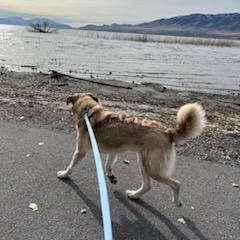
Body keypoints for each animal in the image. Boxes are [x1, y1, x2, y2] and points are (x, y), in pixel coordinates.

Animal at [57, 92, 205, 206]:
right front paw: (111, 176)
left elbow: (71, 165)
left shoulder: (80, 151)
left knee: (176, 183)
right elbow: (107, 165)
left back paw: (176, 201)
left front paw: (64, 174)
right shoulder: (113, 151)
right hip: (143, 163)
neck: (89, 110)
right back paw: (134, 194)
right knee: (147, 186)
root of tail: (168, 132)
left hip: (151, 168)